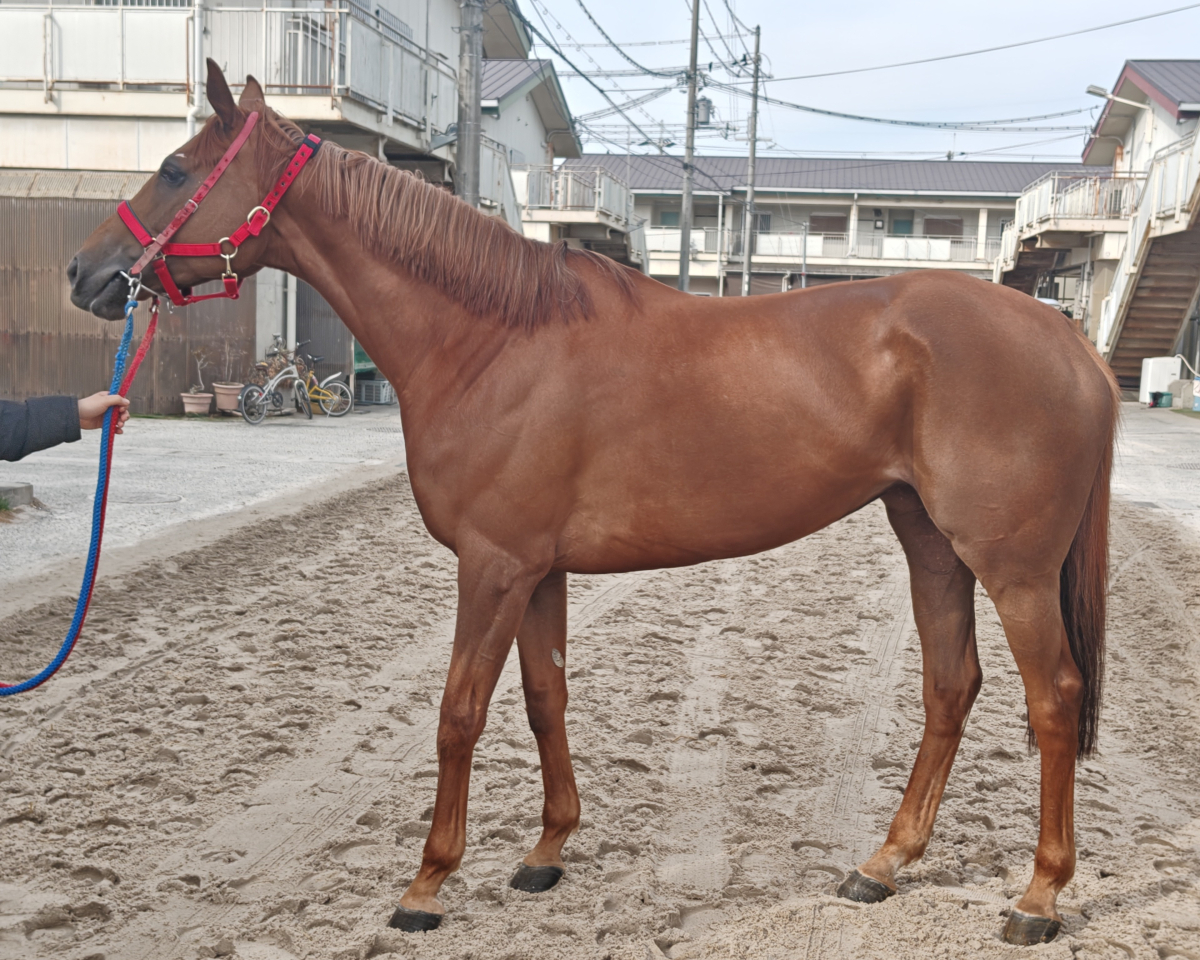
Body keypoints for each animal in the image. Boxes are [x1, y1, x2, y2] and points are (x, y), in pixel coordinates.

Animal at [68, 61, 1119, 946]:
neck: (493, 341)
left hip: (1013, 567)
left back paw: (1036, 898)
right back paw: (883, 865)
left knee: (1053, 700)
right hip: (929, 541)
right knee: (952, 688)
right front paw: (545, 852)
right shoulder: (538, 569)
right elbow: (544, 698)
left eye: (173, 167)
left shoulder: (493, 566)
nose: (86, 274)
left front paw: (426, 885)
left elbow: (458, 713)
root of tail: (1069, 342)